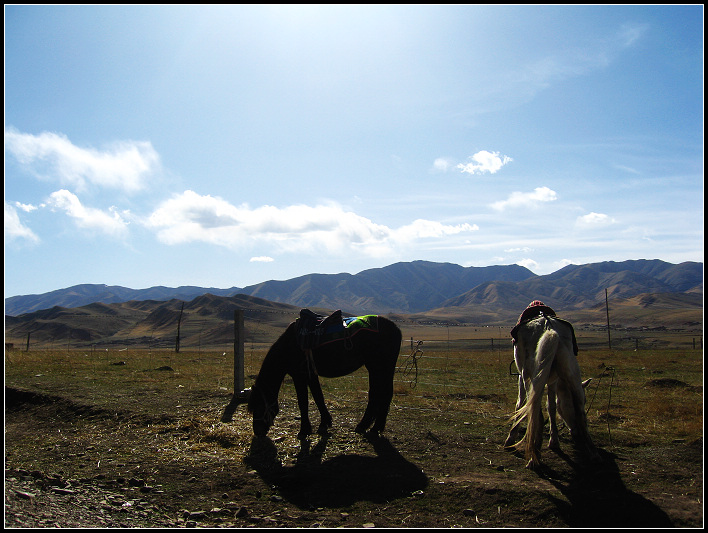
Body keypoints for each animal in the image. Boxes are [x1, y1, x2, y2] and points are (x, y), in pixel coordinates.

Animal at [248, 316, 404, 436]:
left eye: (259, 406)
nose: (258, 432)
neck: (289, 345)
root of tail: (396, 329)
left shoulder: (299, 376)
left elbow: (303, 402)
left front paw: (304, 430)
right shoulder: (310, 375)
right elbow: (318, 397)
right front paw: (325, 423)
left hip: (380, 367)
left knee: (383, 394)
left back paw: (373, 428)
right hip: (377, 368)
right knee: (377, 394)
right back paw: (367, 426)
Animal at [506, 314, 600, 468]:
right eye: (567, 406)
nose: (575, 432)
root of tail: (548, 326)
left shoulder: (521, 376)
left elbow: (520, 404)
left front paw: (510, 438)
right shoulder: (553, 381)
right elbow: (551, 407)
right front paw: (554, 441)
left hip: (529, 376)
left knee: (536, 412)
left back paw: (534, 456)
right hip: (572, 373)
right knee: (581, 413)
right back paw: (593, 455)